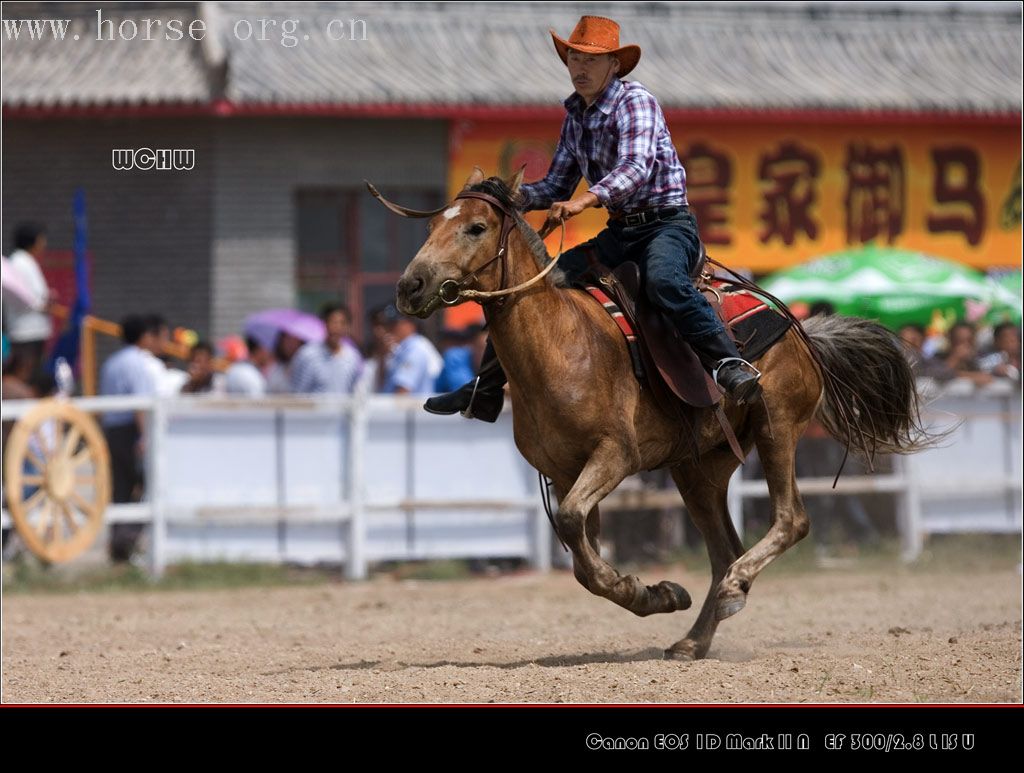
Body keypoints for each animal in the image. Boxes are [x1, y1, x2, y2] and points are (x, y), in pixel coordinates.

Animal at [374, 167, 937, 659]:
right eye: (430, 226)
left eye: (476, 227)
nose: (410, 287)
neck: (562, 343)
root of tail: (802, 333)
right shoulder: (564, 472)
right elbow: (581, 557)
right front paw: (658, 593)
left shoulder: (615, 455)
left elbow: (575, 526)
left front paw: (648, 592)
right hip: (697, 469)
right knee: (723, 550)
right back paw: (695, 636)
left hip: (776, 426)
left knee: (789, 520)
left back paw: (735, 586)